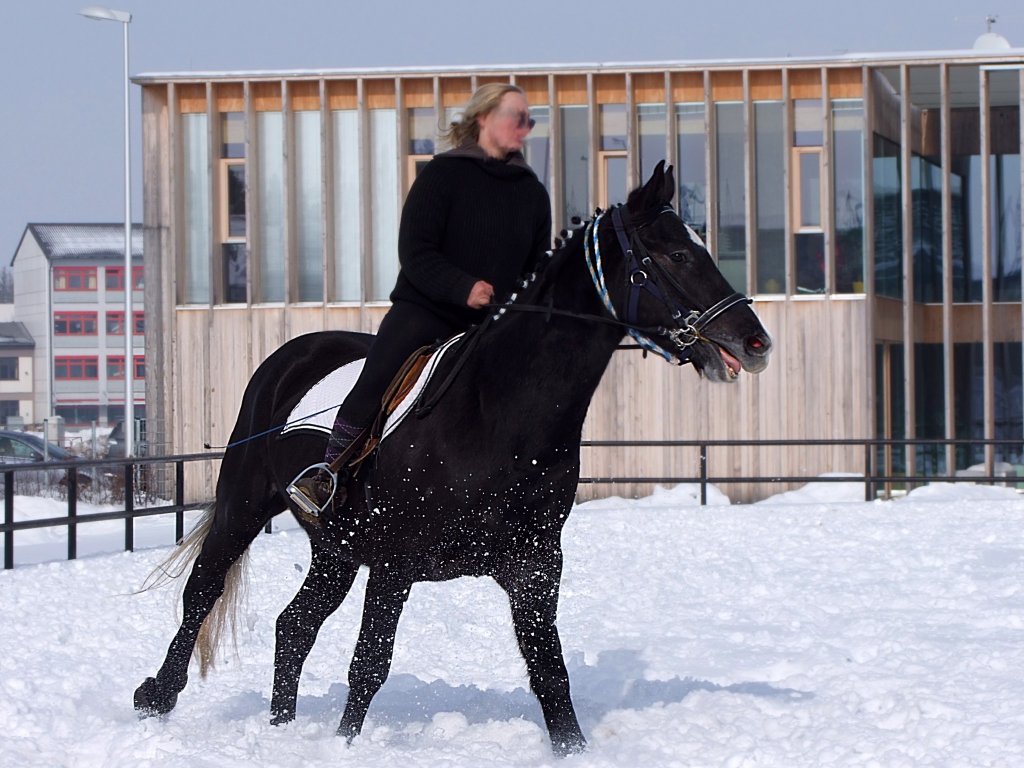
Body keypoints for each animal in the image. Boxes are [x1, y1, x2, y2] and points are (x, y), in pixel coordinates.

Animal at [136, 162, 770, 757]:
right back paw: (156, 697)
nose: (755, 343)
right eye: (677, 254)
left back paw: (281, 728)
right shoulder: (395, 563)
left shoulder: (535, 566)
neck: (497, 412)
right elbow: (368, 665)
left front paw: (572, 749)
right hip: (245, 506)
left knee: (293, 627)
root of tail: (289, 356)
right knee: (202, 593)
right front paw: (345, 746)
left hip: (336, 550)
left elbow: (550, 672)